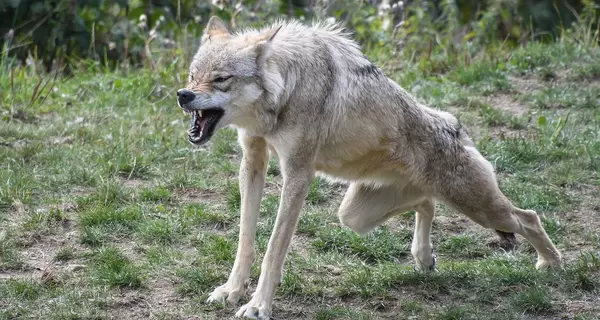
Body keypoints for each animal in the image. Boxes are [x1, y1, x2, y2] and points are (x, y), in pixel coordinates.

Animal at [177, 16, 564, 318]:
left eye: (221, 79)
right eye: (193, 75)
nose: (183, 95)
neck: (286, 88)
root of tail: (455, 124)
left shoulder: (298, 174)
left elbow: (274, 248)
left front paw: (258, 306)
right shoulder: (253, 161)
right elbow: (246, 239)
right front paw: (231, 291)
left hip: (481, 209)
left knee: (529, 217)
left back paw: (552, 265)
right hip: (355, 216)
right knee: (427, 203)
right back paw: (424, 257)